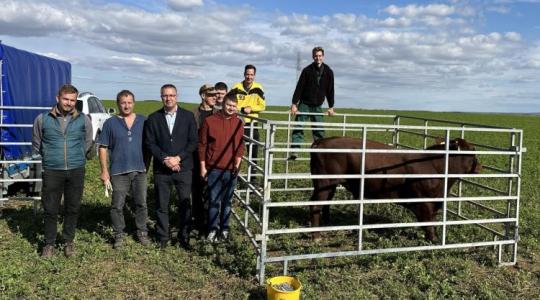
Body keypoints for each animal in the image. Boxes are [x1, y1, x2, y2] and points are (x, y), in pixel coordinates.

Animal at [310, 137, 484, 240]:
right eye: (472, 151)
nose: (480, 167)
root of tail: (322, 141)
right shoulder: (424, 203)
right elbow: (428, 223)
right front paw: (433, 240)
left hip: (329, 185)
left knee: (325, 203)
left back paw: (327, 224)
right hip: (324, 183)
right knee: (316, 205)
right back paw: (316, 235)